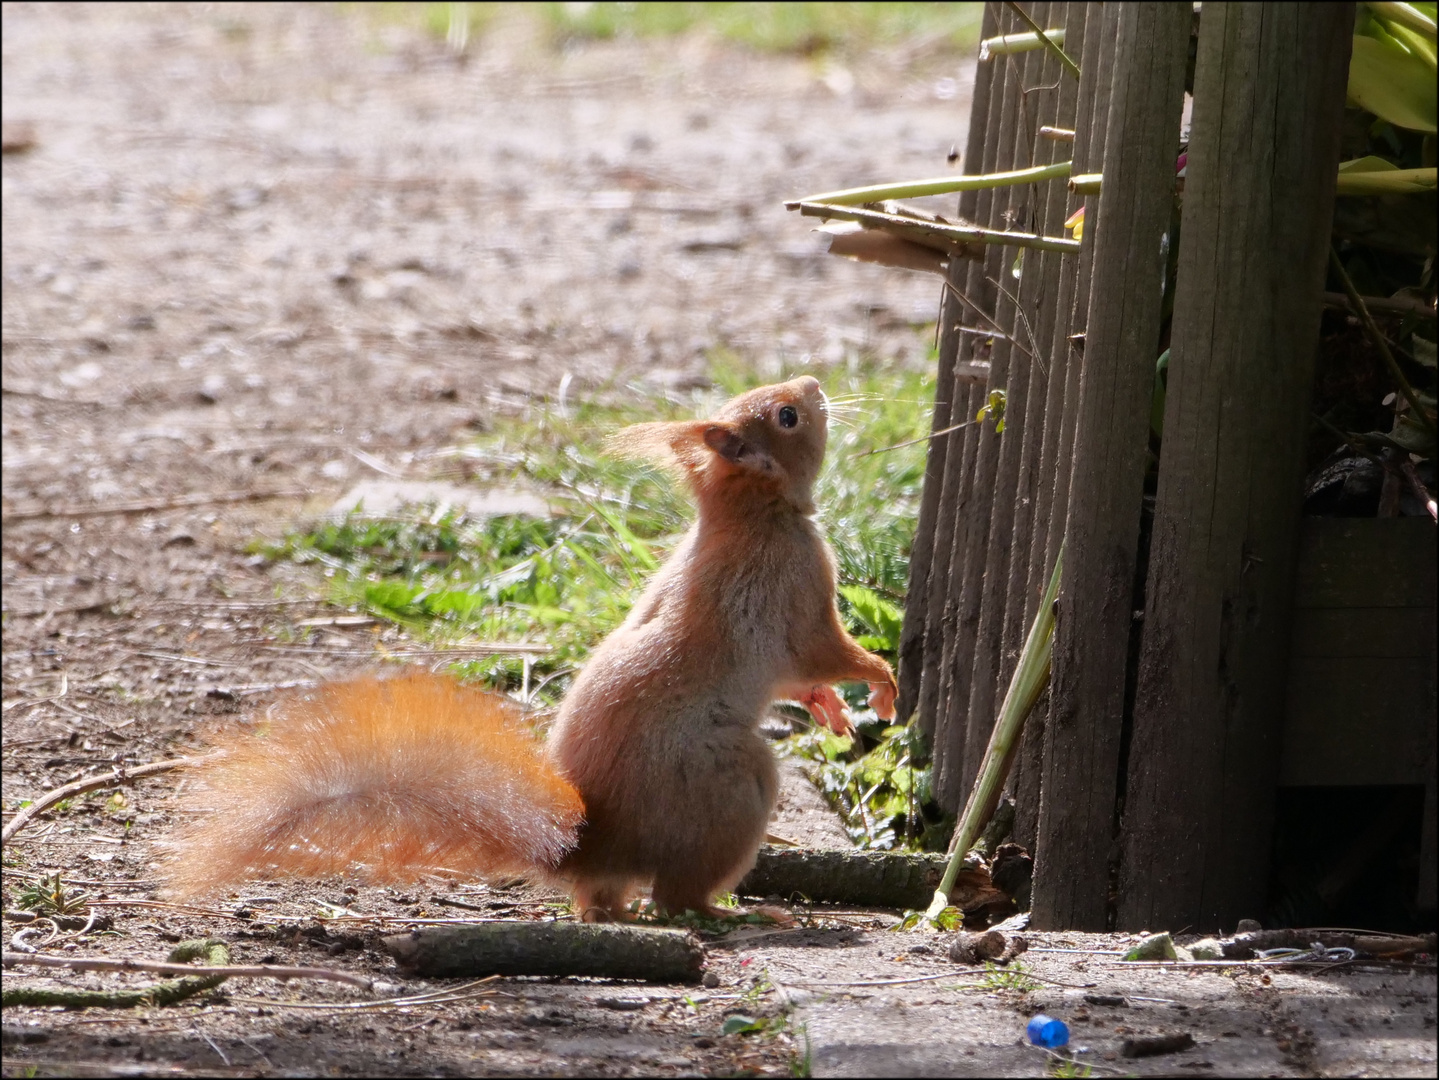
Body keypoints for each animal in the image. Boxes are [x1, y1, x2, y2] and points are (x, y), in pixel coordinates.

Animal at [163, 376, 892, 914]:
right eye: (787, 416)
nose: (814, 382)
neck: (749, 516)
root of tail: (595, 848)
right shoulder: (795, 596)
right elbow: (825, 653)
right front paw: (881, 683)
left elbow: (804, 678)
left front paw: (829, 707)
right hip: (731, 786)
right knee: (674, 897)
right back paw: (739, 914)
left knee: (605, 905)